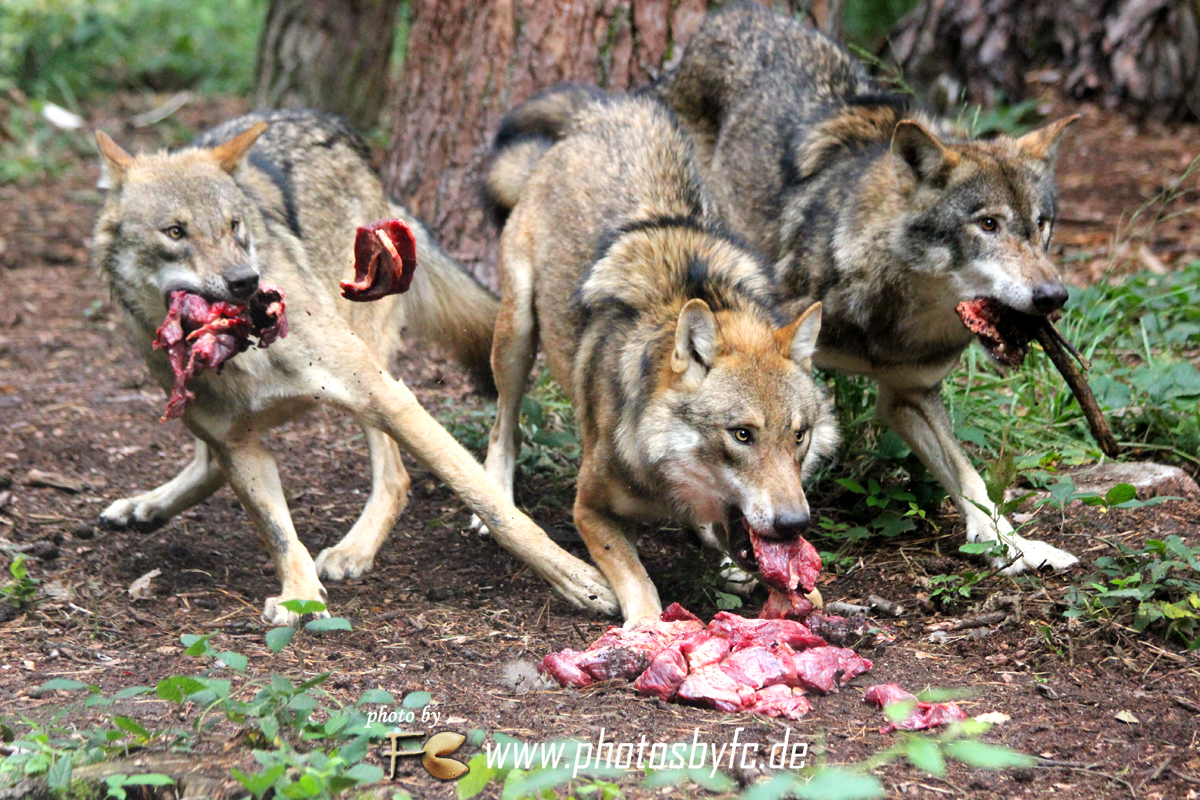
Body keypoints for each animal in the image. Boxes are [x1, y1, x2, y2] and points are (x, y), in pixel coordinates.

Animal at [93, 109, 619, 623]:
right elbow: (280, 535)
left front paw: (582, 581)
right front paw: (299, 595)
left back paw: (354, 549)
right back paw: (146, 505)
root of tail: (332, 125)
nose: (245, 280)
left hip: (370, 368)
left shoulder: (385, 396)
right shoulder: (237, 444)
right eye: (175, 232)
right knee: (213, 464)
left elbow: (494, 507)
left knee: (395, 478)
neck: (249, 354)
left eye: (234, 226)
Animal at [475, 87, 835, 623]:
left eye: (799, 436)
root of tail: (610, 109)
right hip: (516, 333)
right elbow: (638, 580)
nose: (794, 523)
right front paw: (647, 627)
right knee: (504, 424)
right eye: (742, 434)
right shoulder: (588, 507)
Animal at [652, 3, 1084, 573]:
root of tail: (729, 18)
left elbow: (969, 476)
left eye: (1041, 224)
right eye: (988, 224)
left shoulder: (909, 392)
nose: (1053, 298)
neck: (893, 313)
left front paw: (1013, 545)